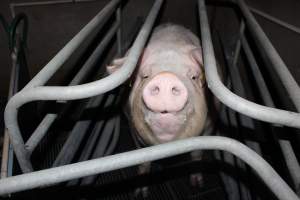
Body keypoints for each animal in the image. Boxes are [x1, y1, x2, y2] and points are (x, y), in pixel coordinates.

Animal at [106, 23, 214, 197]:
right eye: (144, 75)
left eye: (194, 77)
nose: (166, 77)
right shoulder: (133, 127)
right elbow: (143, 160)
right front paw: (140, 194)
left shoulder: (210, 125)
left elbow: (197, 152)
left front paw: (197, 186)